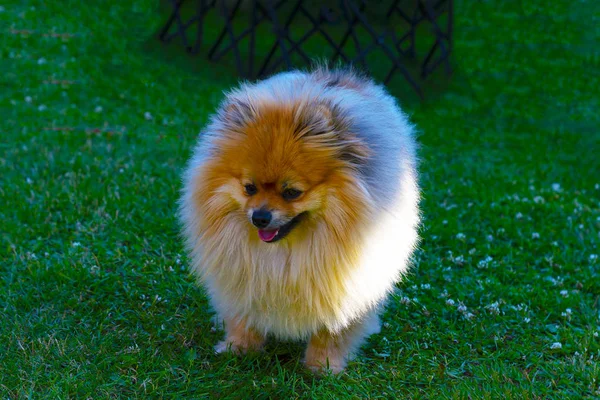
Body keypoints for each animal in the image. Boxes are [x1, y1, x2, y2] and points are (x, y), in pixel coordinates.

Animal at [180, 67, 420, 374]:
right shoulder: (242, 275)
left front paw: (322, 366)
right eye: (249, 188)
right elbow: (243, 314)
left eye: (292, 192)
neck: (284, 253)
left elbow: (332, 330)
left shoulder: (346, 286)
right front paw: (240, 348)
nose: (260, 217)